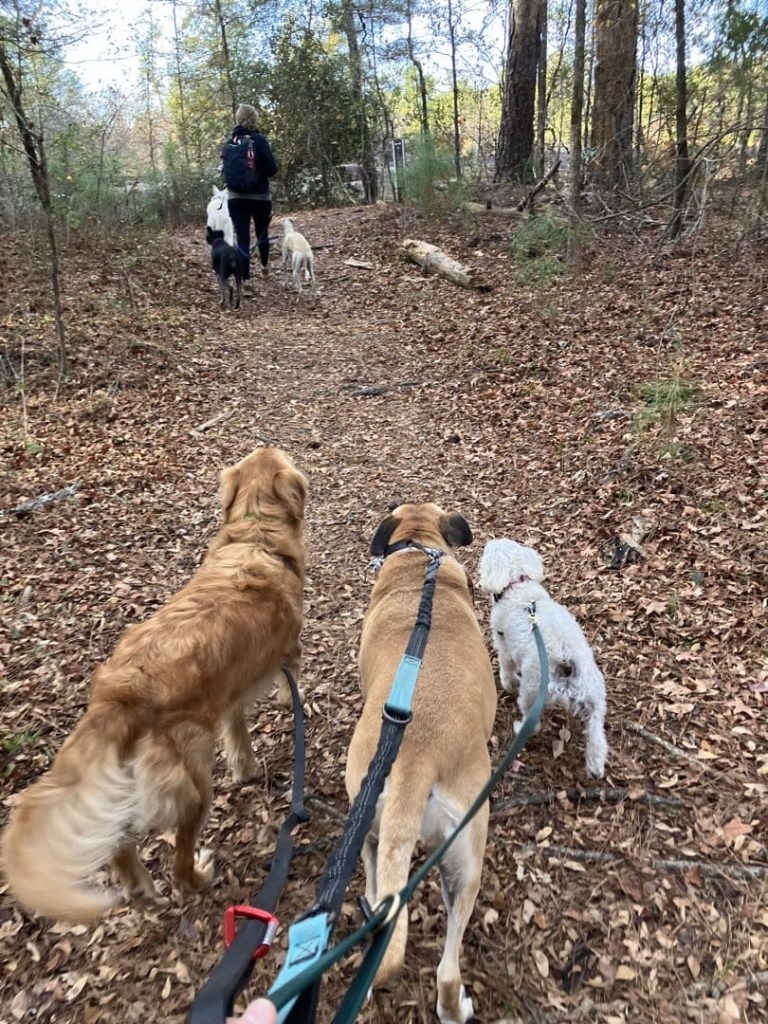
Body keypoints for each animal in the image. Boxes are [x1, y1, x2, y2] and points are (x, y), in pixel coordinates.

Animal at [1, 447, 308, 923]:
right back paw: (198, 875)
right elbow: (286, 685)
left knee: (117, 841)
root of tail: (121, 694)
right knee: (178, 863)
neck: (256, 532)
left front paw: (246, 768)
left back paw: (139, 886)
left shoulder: (229, 695)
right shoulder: (286, 651)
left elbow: (237, 732)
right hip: (194, 785)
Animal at [478, 538, 608, 779]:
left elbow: (506, 668)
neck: (518, 585)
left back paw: (519, 728)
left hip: (531, 691)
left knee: (532, 722)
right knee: (597, 734)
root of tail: (566, 660)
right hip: (595, 695)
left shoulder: (503, 644)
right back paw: (595, 766)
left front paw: (507, 683)